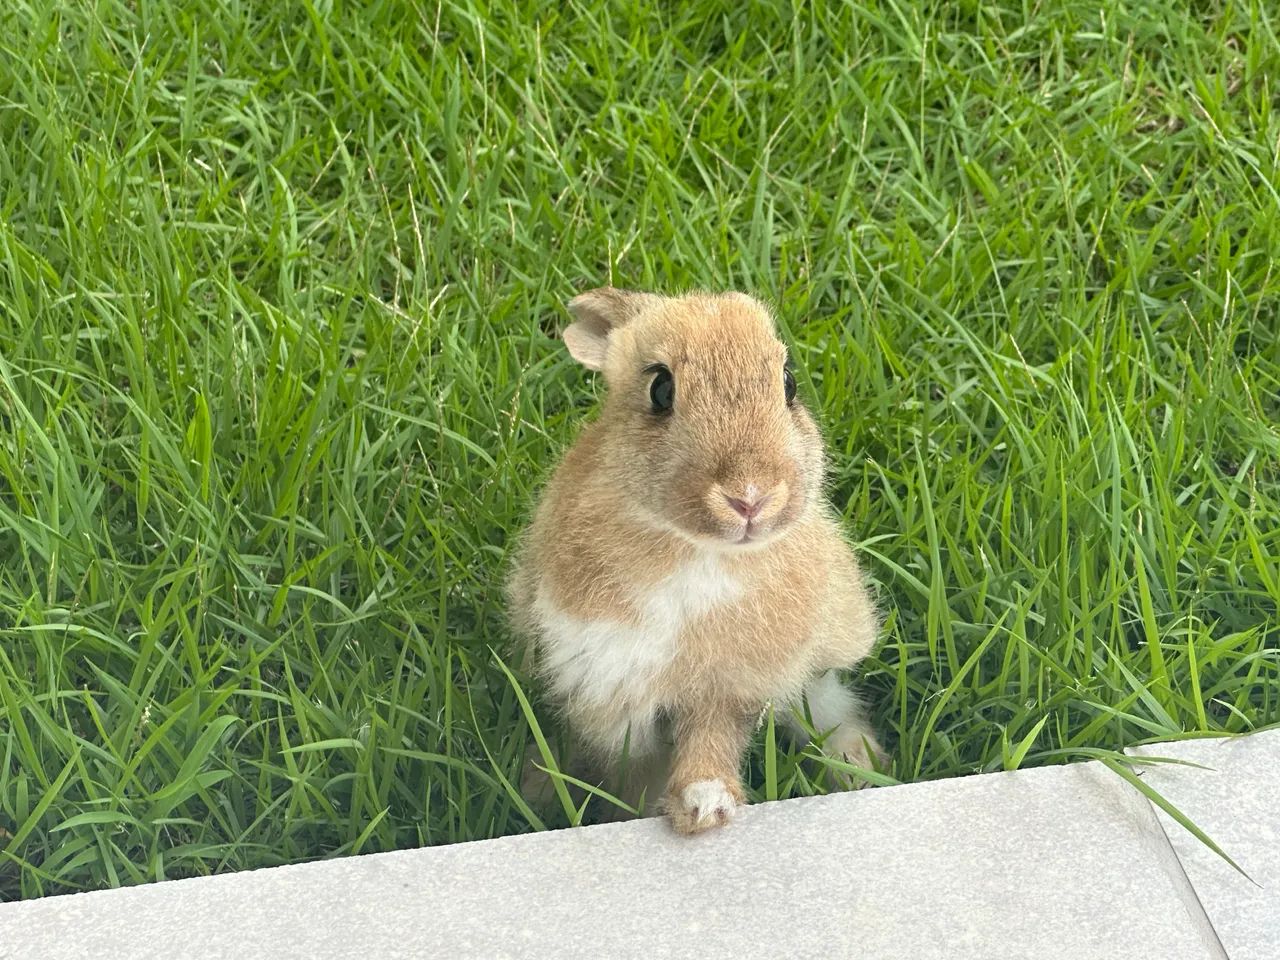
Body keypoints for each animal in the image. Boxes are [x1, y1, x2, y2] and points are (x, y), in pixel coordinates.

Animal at [506, 287, 883, 834]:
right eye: (661, 390)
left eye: (788, 385)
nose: (751, 497)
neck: (698, 552)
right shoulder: (605, 683)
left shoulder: (729, 689)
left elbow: (712, 741)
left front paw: (704, 807)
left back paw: (860, 766)